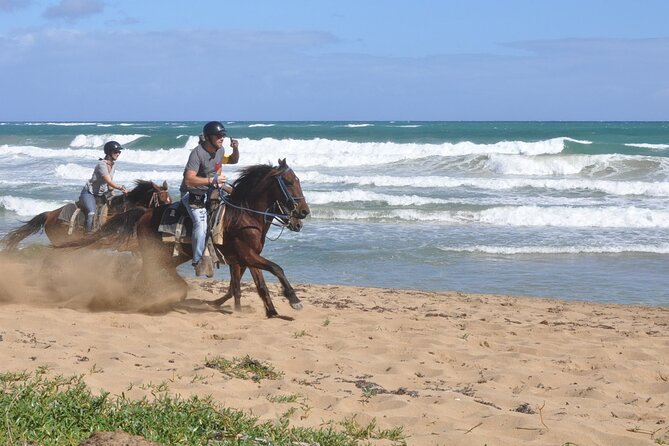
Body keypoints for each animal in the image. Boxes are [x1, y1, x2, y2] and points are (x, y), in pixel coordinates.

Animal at [64, 159, 310, 318]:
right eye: (289, 182)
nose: (304, 212)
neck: (243, 215)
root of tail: (143, 214)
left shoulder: (247, 257)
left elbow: (257, 285)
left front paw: (272, 311)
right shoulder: (246, 255)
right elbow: (276, 269)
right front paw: (294, 300)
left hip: (172, 256)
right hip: (156, 254)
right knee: (148, 275)